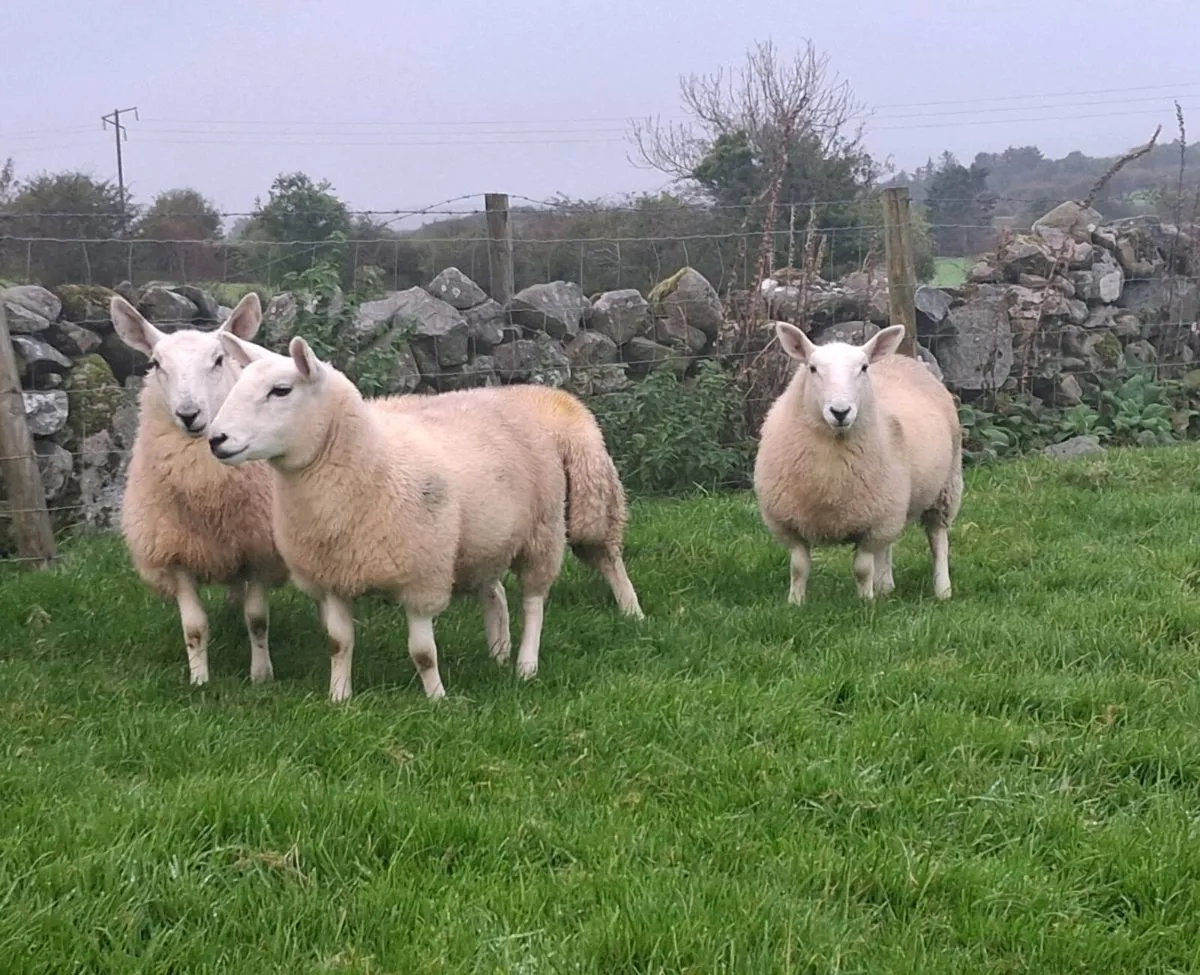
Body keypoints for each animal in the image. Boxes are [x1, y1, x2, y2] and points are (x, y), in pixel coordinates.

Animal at [111, 293, 288, 687]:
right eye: (155, 363)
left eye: (218, 360)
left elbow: (258, 620)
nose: (188, 414)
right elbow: (193, 627)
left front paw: (261, 675)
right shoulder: (174, 553)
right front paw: (199, 680)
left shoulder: (259, 549)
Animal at [206, 333, 568, 703]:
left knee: (533, 602)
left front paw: (437, 698)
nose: (215, 439)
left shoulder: (422, 577)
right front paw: (339, 696)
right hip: (482, 542)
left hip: (543, 531)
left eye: (280, 391)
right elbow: (339, 643)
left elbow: (423, 653)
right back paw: (498, 652)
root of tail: (497, 394)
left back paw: (526, 665)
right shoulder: (333, 575)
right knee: (494, 592)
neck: (374, 461)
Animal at [753, 322, 963, 604]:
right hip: (894, 504)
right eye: (812, 368)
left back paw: (942, 590)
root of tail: (903, 358)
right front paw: (795, 602)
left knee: (937, 538)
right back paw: (886, 586)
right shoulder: (788, 524)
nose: (840, 412)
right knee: (887, 547)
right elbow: (799, 567)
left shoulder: (874, 523)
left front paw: (865, 602)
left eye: (863, 368)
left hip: (944, 488)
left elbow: (862, 568)